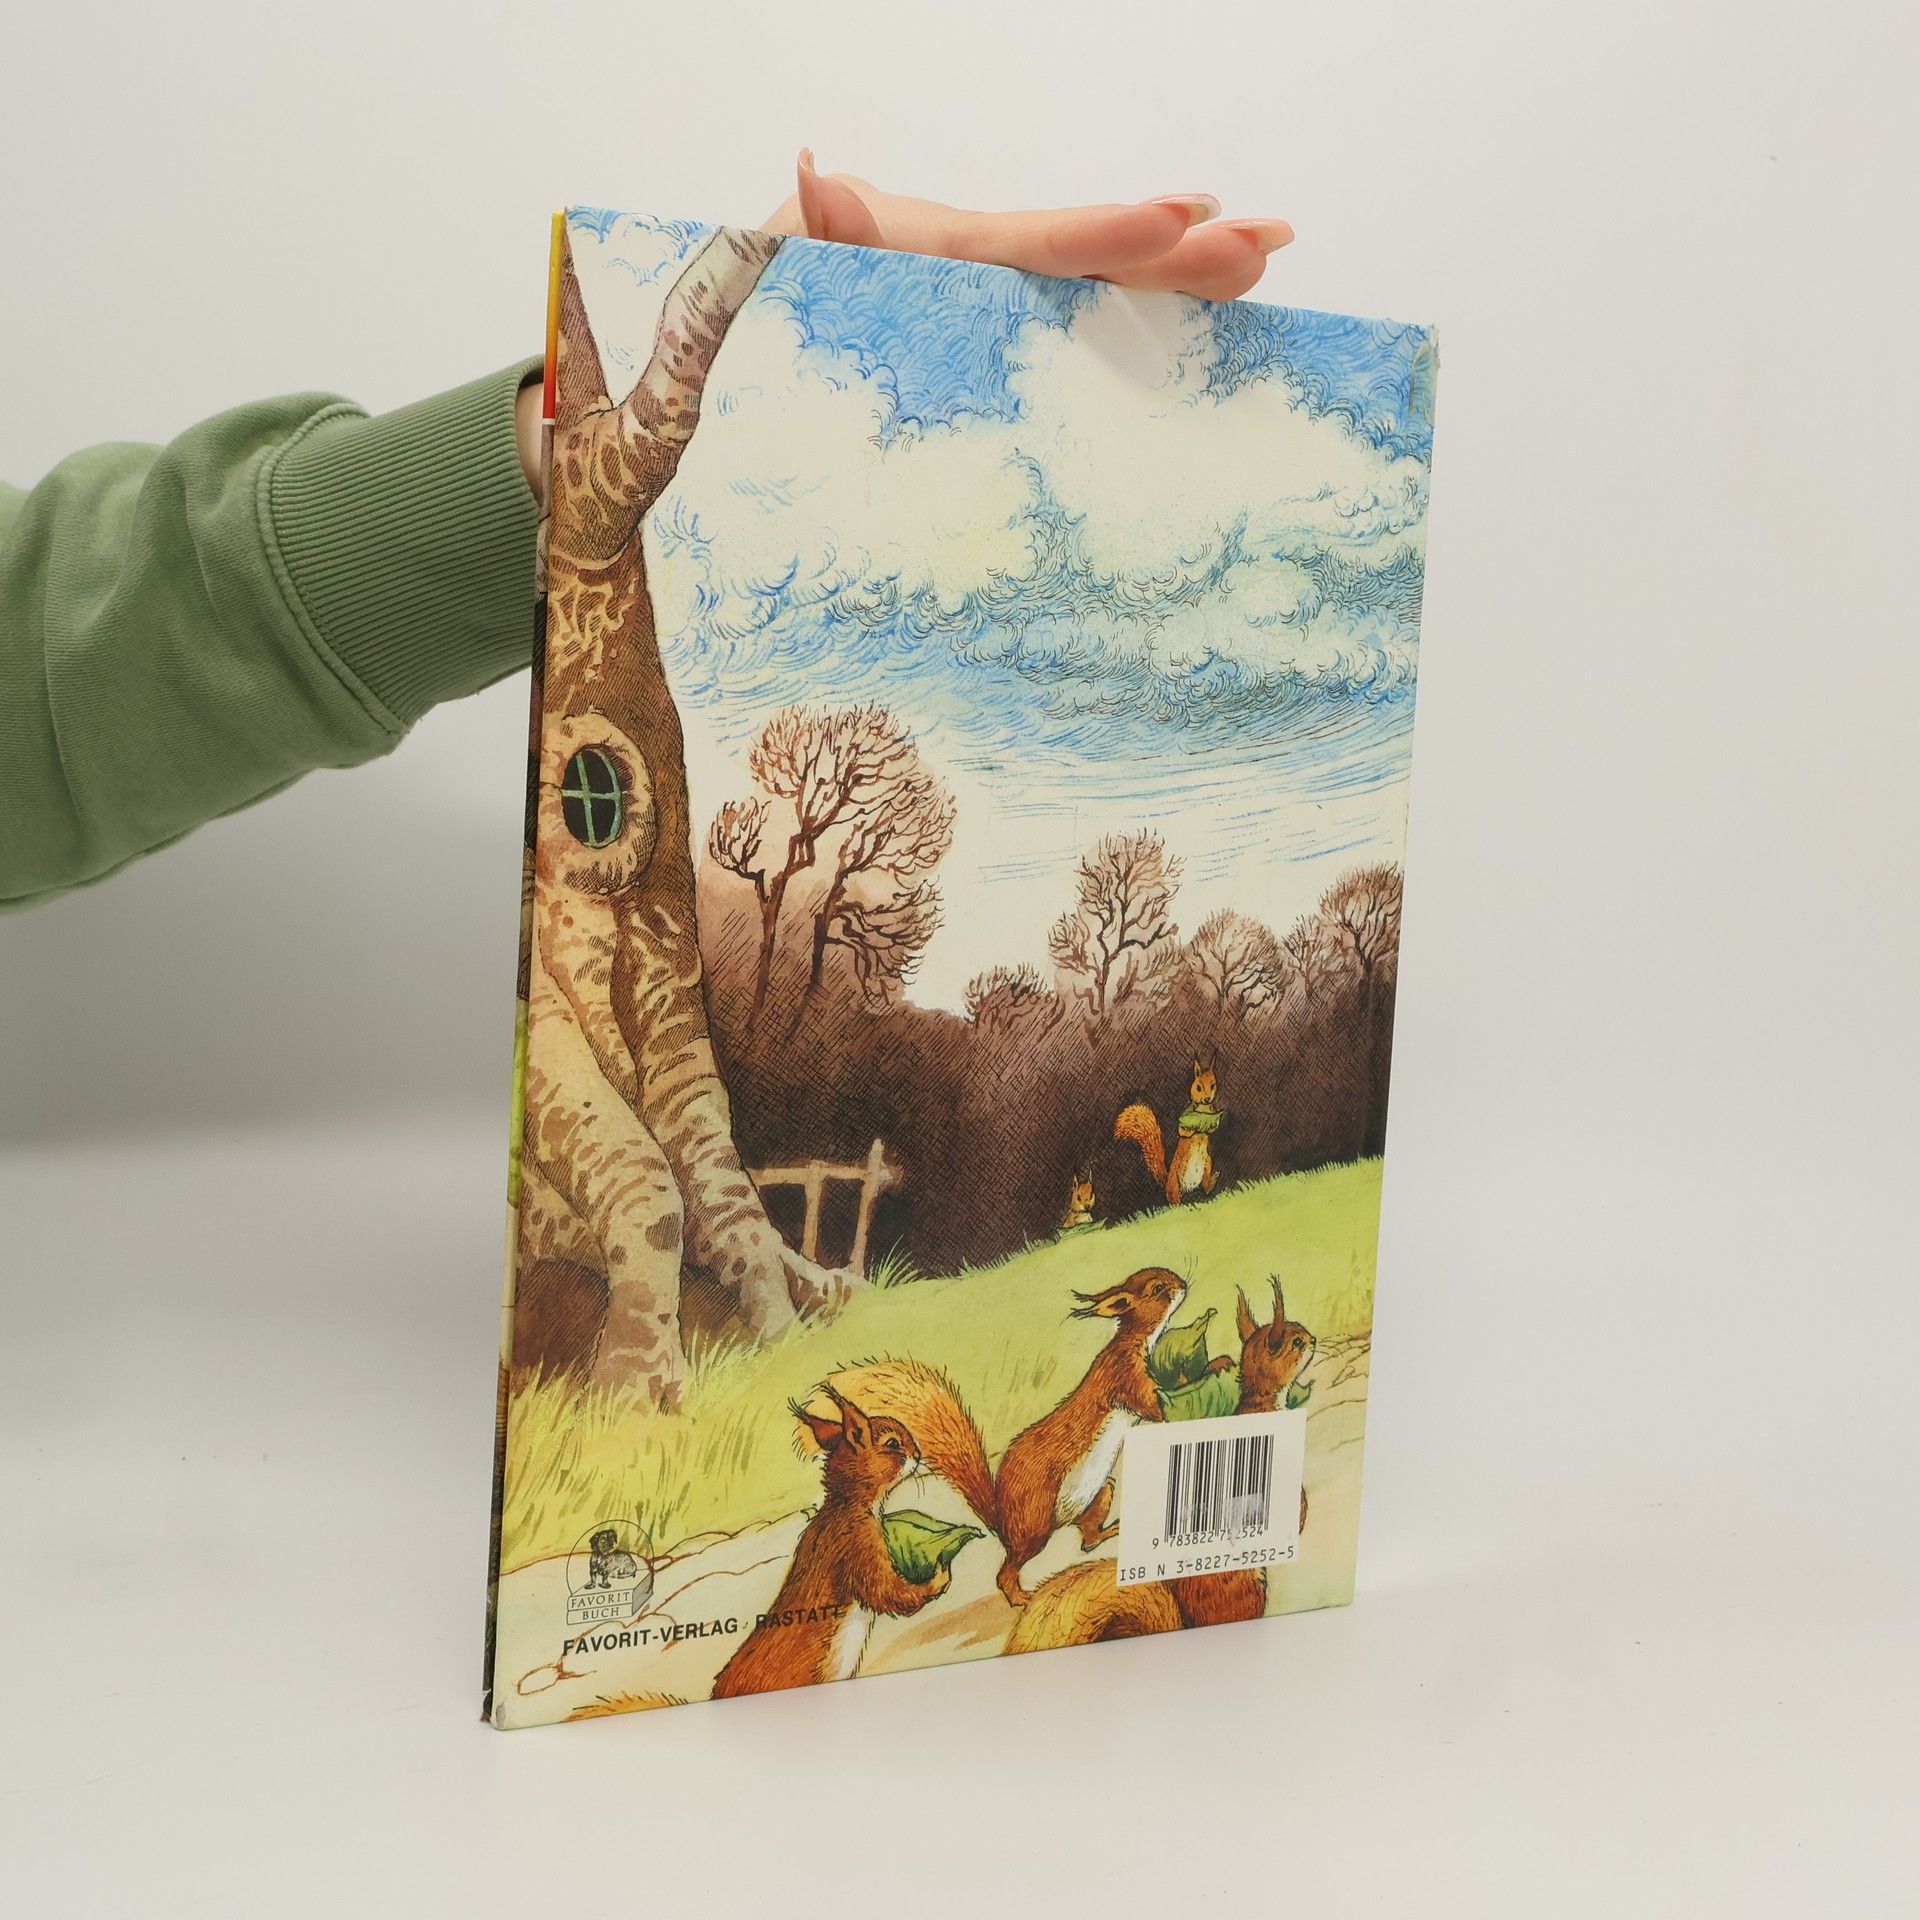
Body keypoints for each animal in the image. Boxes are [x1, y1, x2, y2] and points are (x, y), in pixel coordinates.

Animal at [710, 1386, 952, 1701]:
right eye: (893, 1443)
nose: (919, 1453)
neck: (845, 1504)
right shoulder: (860, 1549)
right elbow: (888, 1593)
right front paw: (939, 1577)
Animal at [818, 1267, 1187, 1610]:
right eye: (1158, 1288)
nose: (1183, 1285)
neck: (1129, 1342)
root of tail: (1002, 1522)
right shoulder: (1126, 1378)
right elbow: (1152, 1405)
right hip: (1036, 1523)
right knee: (1007, 1570)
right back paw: (1022, 1597)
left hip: (1099, 1492)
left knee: (1087, 1539)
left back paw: (1110, 1531)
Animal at [1115, 1060, 1222, 1206]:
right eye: (1198, 1087)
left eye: (1213, 1085)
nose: (1206, 1099)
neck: (1203, 1109)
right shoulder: (1185, 1115)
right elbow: (1183, 1131)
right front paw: (1195, 1126)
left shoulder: (1212, 1111)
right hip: (1174, 1184)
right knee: (1174, 1201)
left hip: (1208, 1162)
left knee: (1205, 1188)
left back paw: (1212, 1182)